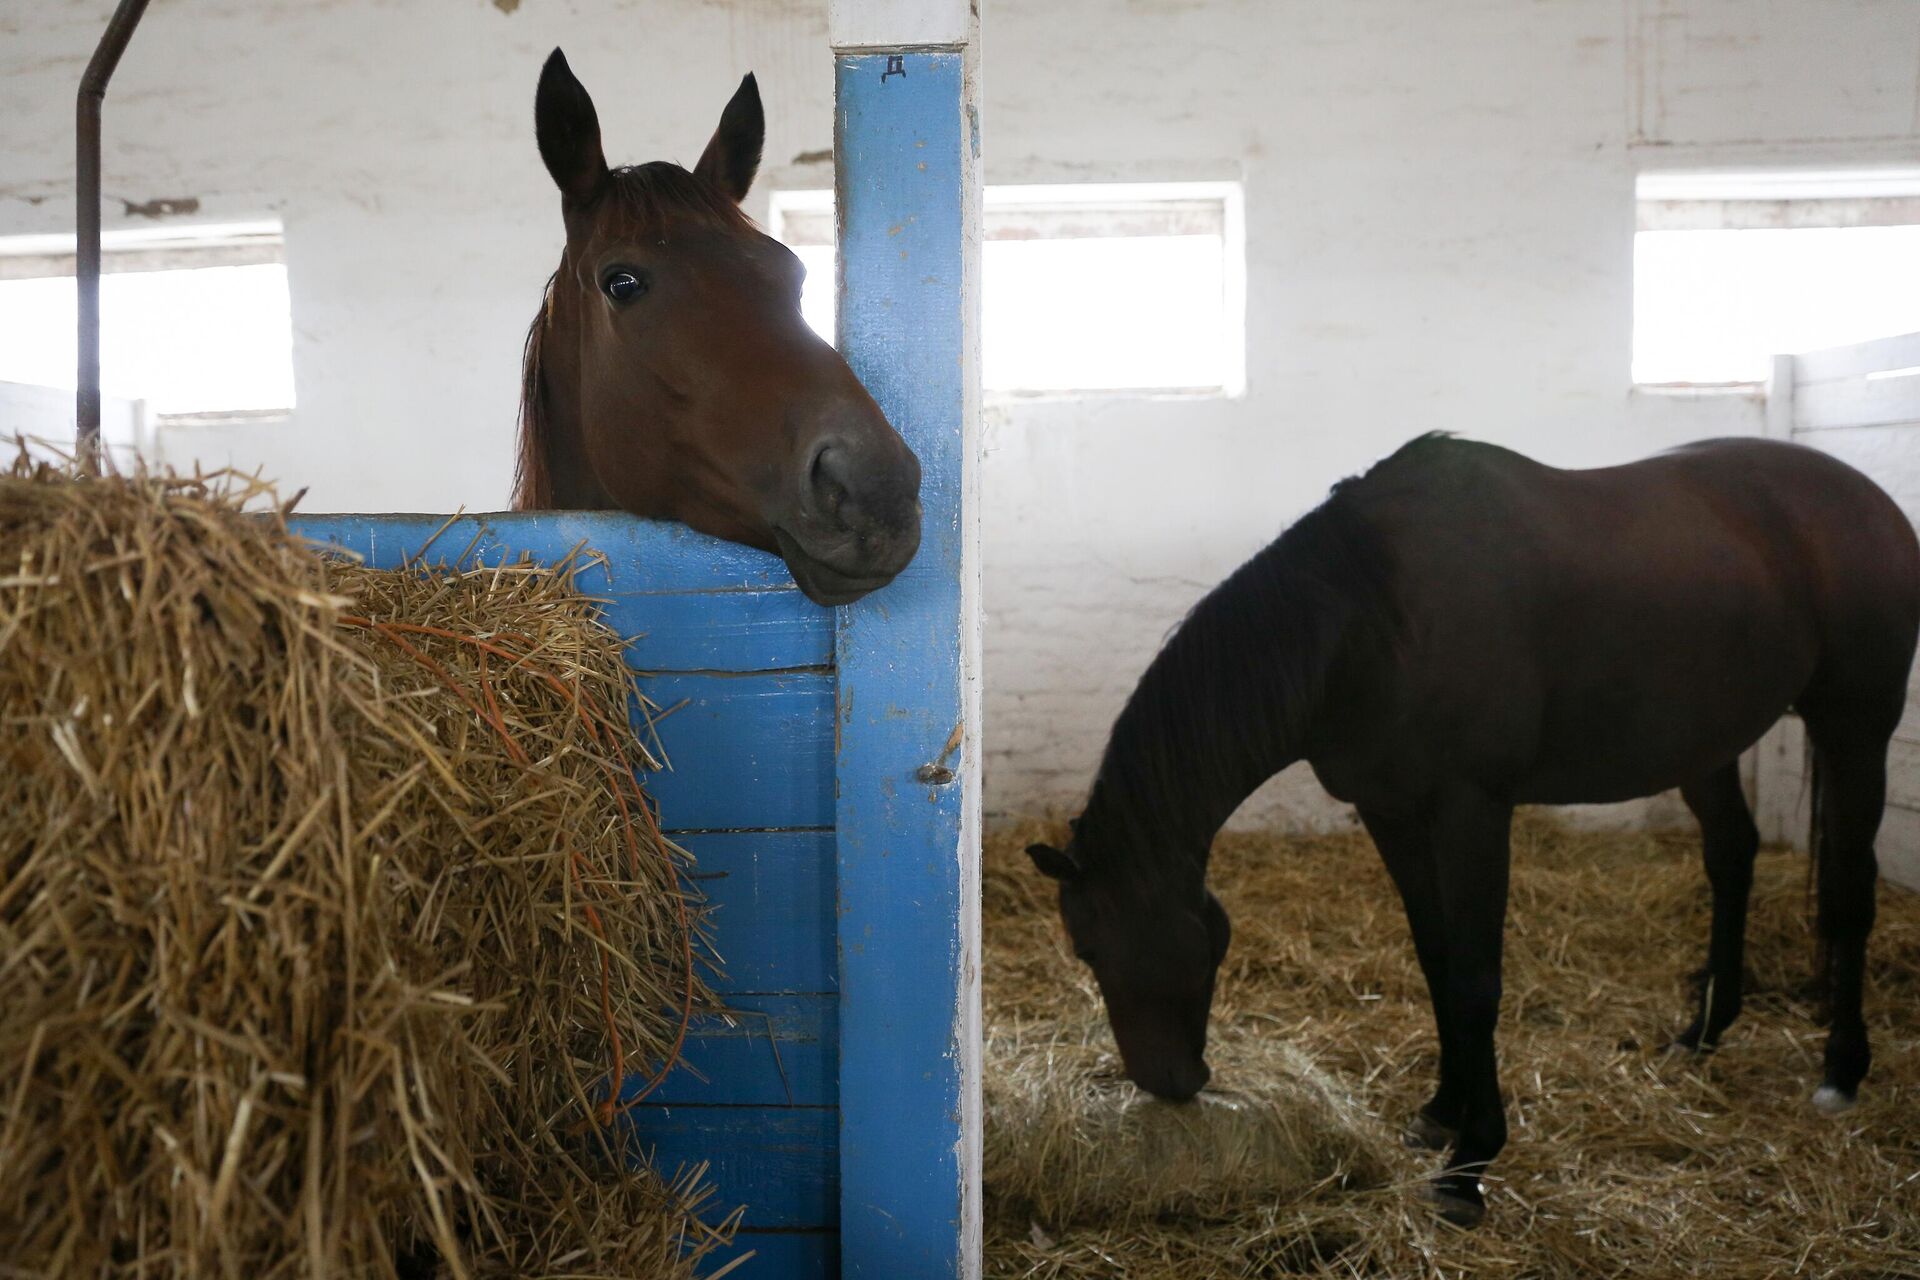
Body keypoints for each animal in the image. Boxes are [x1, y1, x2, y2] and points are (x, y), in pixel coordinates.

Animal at [1029, 435, 1920, 1228]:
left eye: (1098, 948)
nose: (1166, 1081)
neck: (1370, 620)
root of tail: (1869, 500)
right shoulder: (1391, 811)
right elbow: (1436, 961)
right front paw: (1441, 1111)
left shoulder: (1472, 810)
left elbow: (1476, 980)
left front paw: (1471, 1165)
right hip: (1707, 744)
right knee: (1732, 857)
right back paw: (1703, 1032)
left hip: (1854, 727)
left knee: (1850, 890)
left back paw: (1842, 1069)